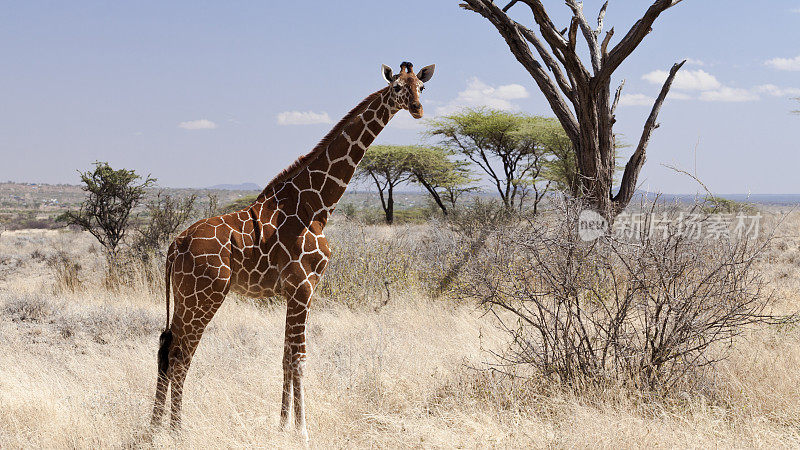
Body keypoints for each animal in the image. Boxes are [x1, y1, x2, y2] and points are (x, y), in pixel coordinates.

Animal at [150, 60, 438, 440]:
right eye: (396, 88)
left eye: (421, 85)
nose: (418, 108)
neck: (317, 206)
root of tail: (176, 244)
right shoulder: (304, 286)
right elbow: (300, 359)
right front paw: (303, 431)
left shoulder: (291, 291)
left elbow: (286, 357)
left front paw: (282, 425)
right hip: (205, 295)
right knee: (182, 354)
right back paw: (177, 430)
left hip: (186, 297)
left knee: (166, 347)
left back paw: (154, 428)